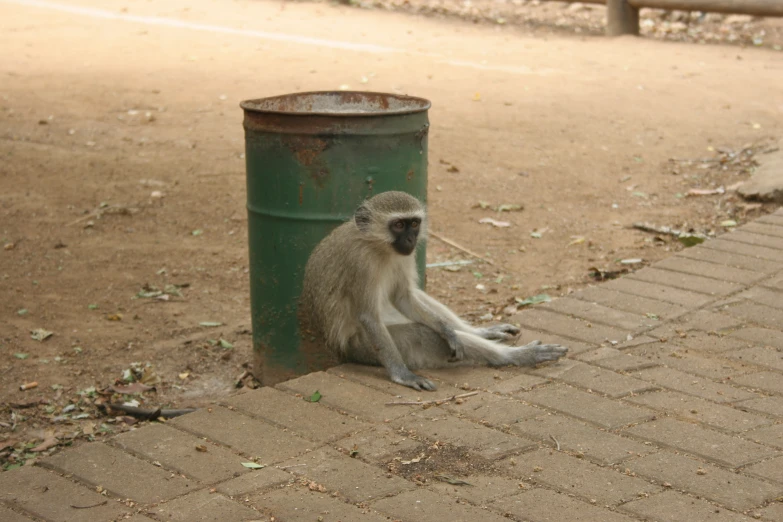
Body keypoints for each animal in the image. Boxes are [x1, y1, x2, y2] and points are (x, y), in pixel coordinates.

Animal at [298, 189, 568, 388]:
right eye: (398, 225)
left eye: (414, 223)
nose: (410, 239)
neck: (377, 247)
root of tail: (341, 351)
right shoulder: (360, 263)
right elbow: (368, 317)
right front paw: (402, 375)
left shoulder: (404, 257)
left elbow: (404, 297)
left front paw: (449, 331)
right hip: (364, 347)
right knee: (420, 333)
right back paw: (516, 356)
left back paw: (477, 332)